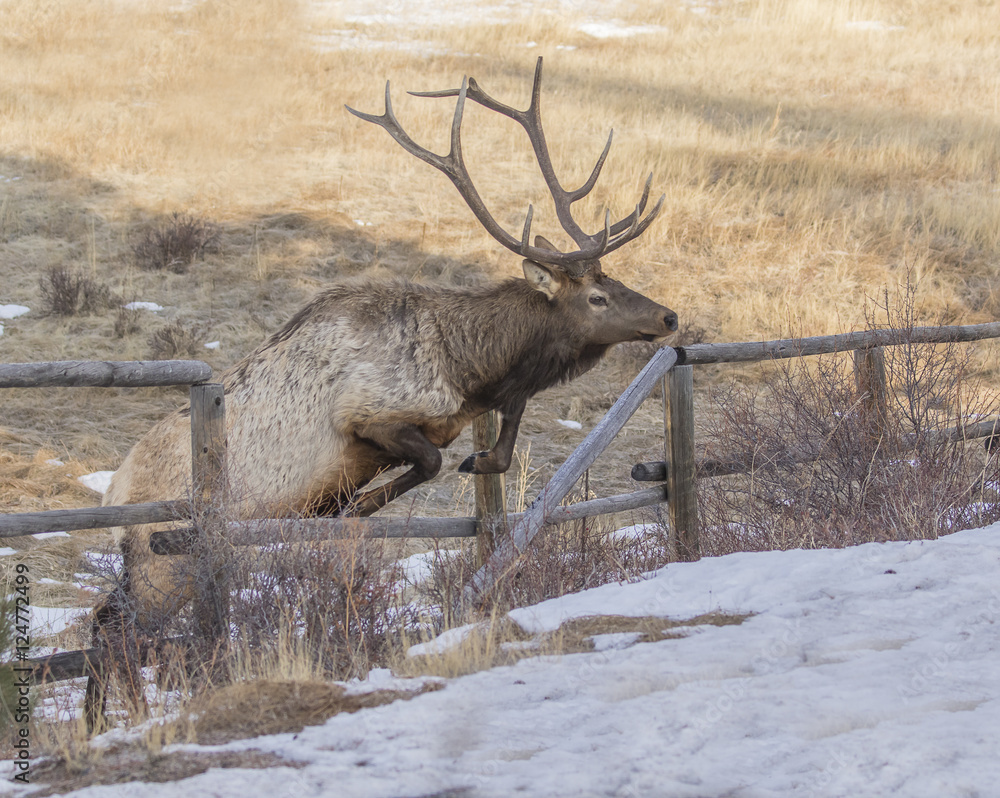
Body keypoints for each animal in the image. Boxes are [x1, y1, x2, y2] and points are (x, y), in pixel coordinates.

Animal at [89, 58, 676, 715]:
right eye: (597, 296)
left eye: (615, 281)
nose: (669, 317)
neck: (464, 366)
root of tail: (115, 488)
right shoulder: (367, 416)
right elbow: (430, 461)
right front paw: (357, 506)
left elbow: (493, 447)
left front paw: (468, 464)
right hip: (166, 557)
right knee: (119, 631)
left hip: (151, 560)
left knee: (106, 621)